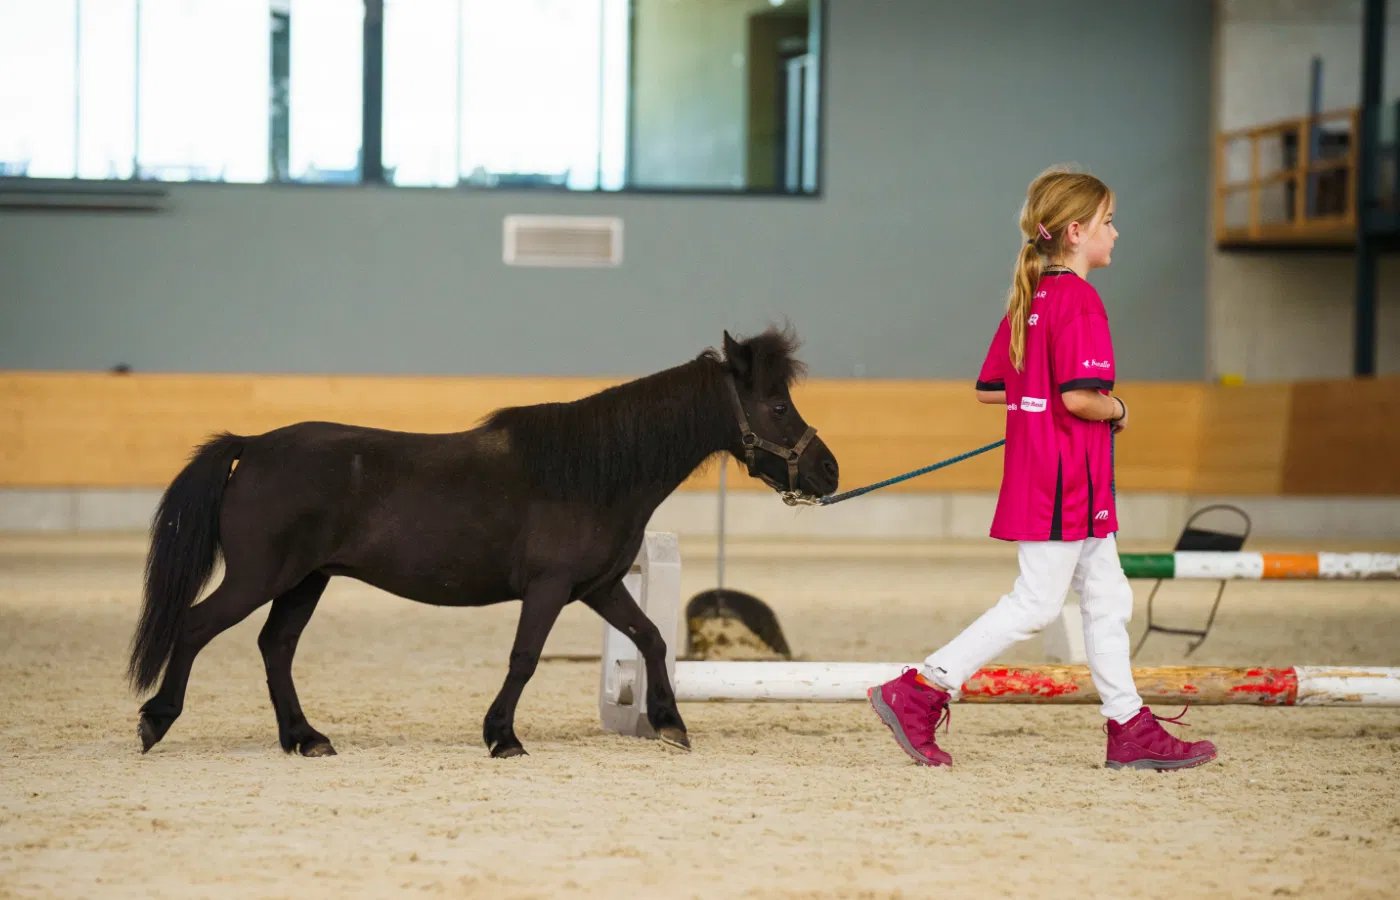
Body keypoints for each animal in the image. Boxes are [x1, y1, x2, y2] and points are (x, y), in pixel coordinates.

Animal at [129, 328, 840, 758]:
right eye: (778, 407)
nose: (829, 472)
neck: (593, 472)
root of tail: (251, 448)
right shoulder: (550, 589)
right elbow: (524, 658)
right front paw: (502, 737)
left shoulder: (600, 586)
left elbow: (652, 639)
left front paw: (668, 722)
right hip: (260, 577)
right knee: (195, 627)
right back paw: (156, 720)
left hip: (306, 580)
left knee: (275, 647)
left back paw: (305, 737)